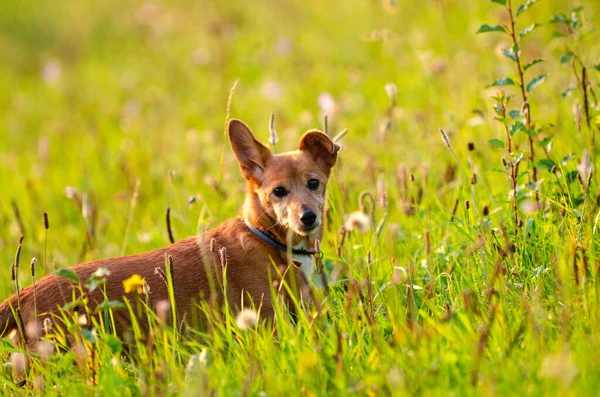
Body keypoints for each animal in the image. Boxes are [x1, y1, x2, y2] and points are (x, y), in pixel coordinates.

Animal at [0, 119, 338, 338]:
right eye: (279, 191)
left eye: (313, 183)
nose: (308, 217)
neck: (268, 238)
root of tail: (22, 296)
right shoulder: (266, 323)